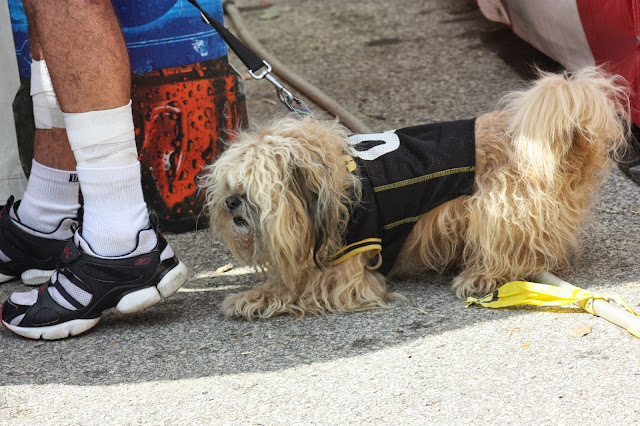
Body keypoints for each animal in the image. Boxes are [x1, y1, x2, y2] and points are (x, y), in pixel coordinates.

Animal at [204, 67, 632, 320]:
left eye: (256, 185)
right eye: (230, 184)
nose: (230, 202)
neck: (334, 188)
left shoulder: (348, 275)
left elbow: (300, 288)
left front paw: (253, 297)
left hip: (496, 206)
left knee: (517, 255)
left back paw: (481, 277)